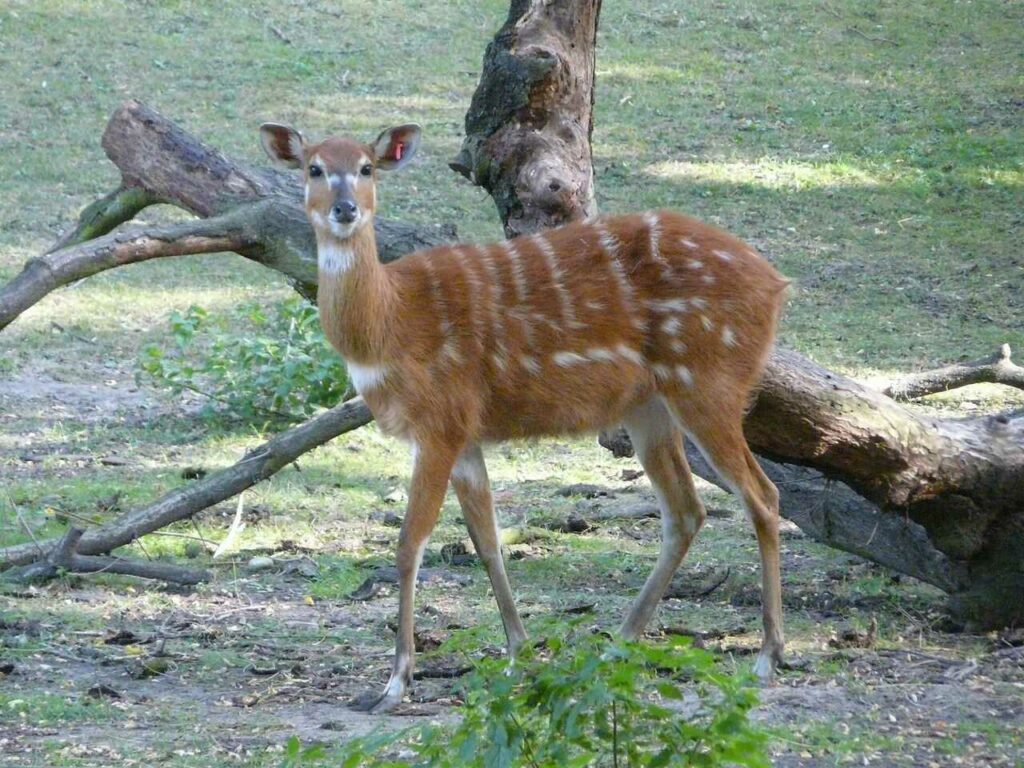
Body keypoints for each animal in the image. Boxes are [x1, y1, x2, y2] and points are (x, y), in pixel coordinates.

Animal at [260, 121, 786, 716]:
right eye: (314, 168)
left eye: (367, 167)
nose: (345, 208)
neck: (388, 326)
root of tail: (776, 286)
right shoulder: (465, 435)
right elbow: (486, 541)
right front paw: (517, 653)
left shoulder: (439, 421)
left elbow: (409, 542)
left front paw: (395, 683)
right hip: (648, 405)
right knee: (686, 510)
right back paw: (618, 644)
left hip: (708, 383)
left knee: (761, 495)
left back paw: (767, 657)